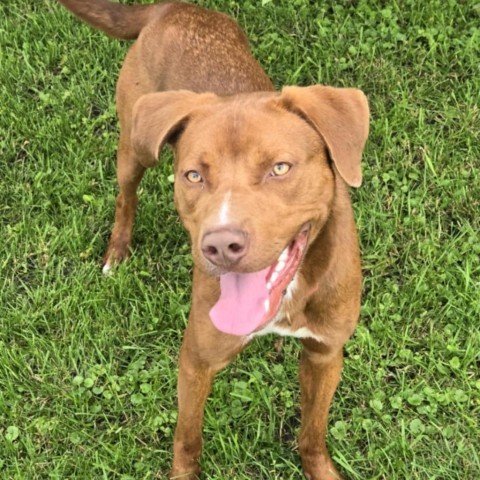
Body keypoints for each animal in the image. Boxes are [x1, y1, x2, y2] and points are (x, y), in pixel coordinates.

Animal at [58, 1, 370, 478]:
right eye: (194, 175)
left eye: (280, 168)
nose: (221, 246)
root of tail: (172, 8)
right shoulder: (197, 361)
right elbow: (187, 440)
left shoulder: (325, 353)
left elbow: (312, 434)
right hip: (134, 145)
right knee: (126, 196)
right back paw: (117, 252)